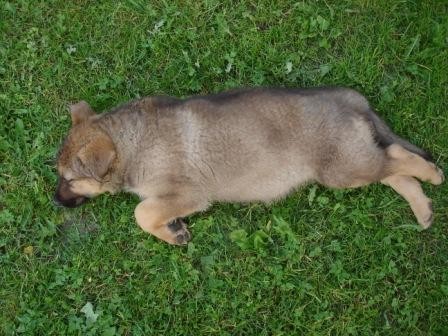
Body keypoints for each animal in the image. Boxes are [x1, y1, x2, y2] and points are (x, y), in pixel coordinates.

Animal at [54, 86, 442, 244]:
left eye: (70, 179)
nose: (55, 201)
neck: (131, 143)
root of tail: (349, 97)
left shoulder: (187, 194)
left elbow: (142, 212)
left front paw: (173, 233)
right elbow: (149, 212)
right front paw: (174, 229)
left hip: (342, 168)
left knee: (399, 158)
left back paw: (434, 175)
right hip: (355, 160)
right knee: (393, 169)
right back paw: (423, 210)